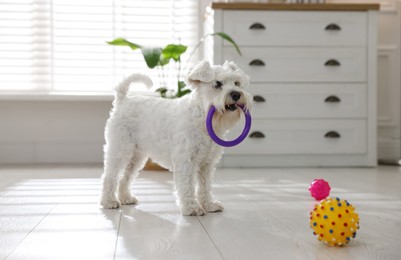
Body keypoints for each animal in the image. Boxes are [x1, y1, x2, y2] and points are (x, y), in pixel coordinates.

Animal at [99, 60, 250, 215]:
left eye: (236, 83)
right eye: (217, 84)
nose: (236, 94)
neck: (201, 117)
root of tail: (122, 100)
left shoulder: (207, 164)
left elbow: (205, 186)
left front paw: (209, 205)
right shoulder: (185, 161)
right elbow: (187, 185)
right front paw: (192, 207)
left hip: (136, 157)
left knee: (125, 178)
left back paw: (126, 198)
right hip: (120, 151)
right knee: (109, 176)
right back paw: (109, 202)